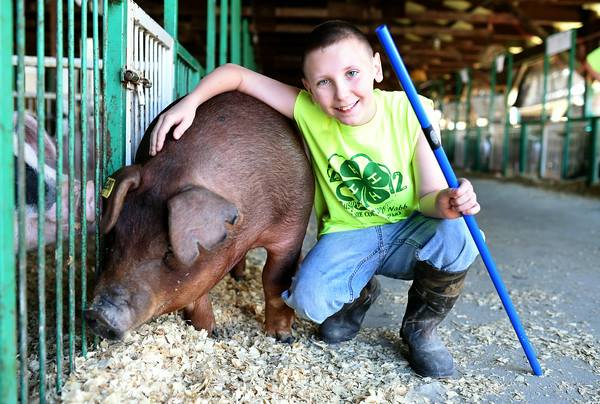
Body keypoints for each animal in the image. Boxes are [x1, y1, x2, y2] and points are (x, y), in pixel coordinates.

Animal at [86, 93, 316, 342]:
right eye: (115, 236)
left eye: (169, 249)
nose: (98, 314)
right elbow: (196, 294)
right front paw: (211, 332)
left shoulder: (293, 224)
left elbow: (274, 280)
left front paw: (283, 337)